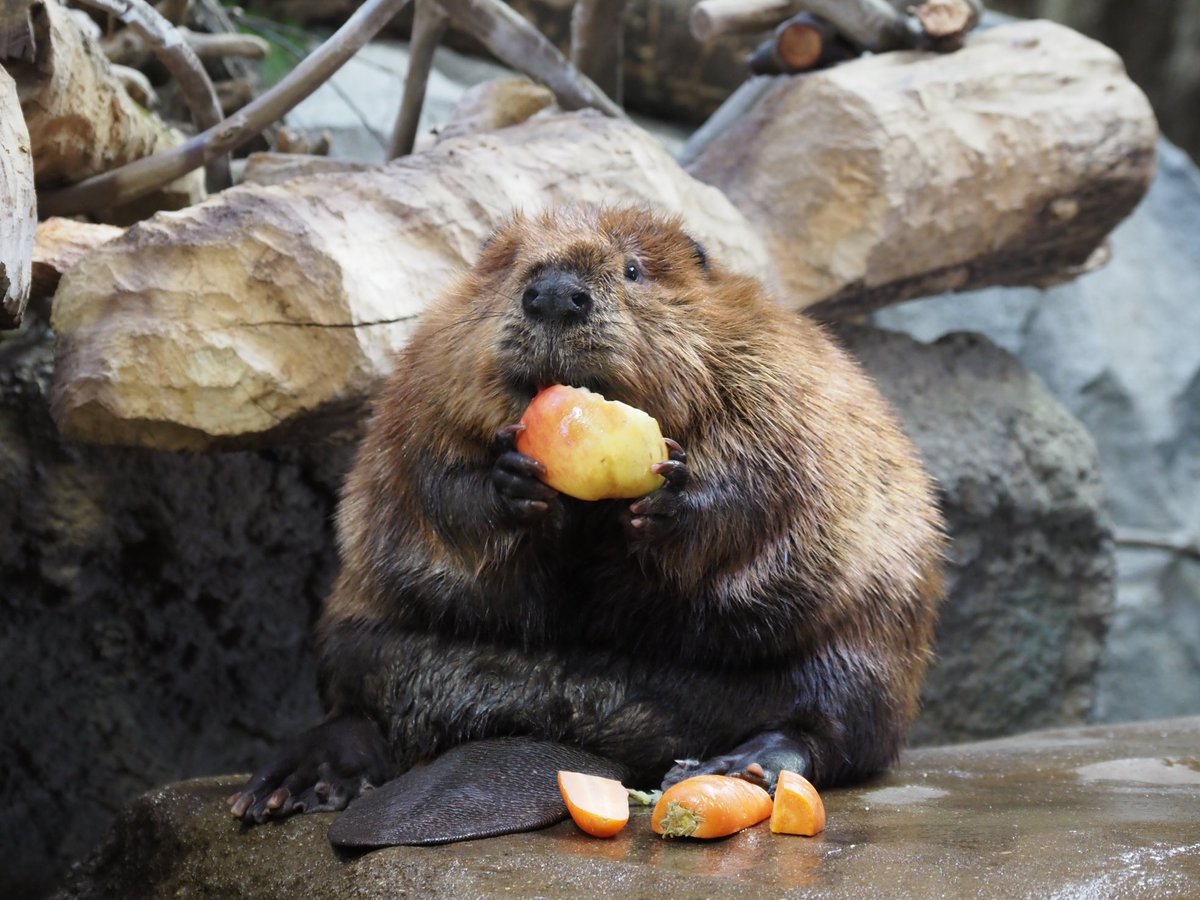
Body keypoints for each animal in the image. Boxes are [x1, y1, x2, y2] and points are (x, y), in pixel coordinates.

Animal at [226, 206, 945, 844]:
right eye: (512, 266)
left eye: (633, 270)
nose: (553, 294)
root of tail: (558, 725)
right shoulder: (430, 367)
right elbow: (425, 467)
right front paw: (510, 481)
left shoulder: (773, 366)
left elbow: (776, 471)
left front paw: (671, 499)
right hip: (361, 626)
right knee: (359, 694)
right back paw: (293, 783)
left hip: (869, 652)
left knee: (833, 723)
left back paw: (731, 764)